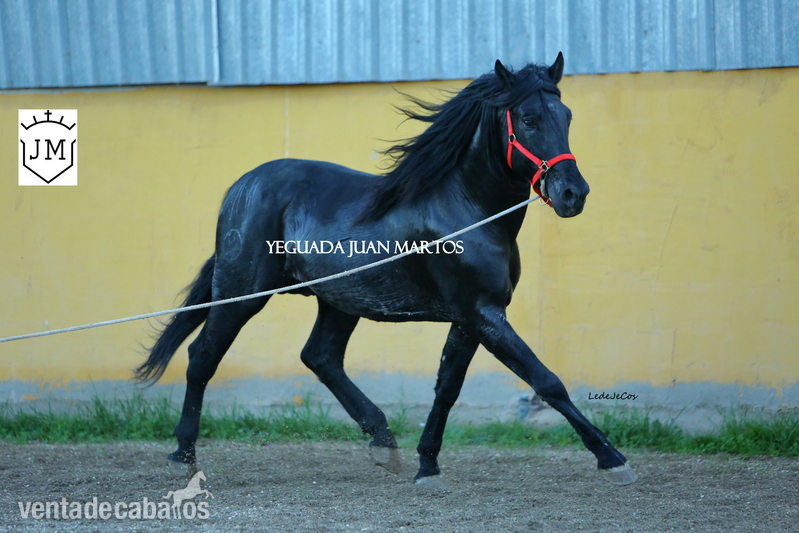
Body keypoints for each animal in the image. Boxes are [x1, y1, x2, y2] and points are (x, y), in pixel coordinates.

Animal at [136, 53, 636, 488]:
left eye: (566, 116)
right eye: (529, 119)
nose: (573, 193)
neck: (467, 210)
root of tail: (242, 186)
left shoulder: (470, 319)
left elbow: (447, 389)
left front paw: (427, 465)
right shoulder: (483, 314)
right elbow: (547, 381)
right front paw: (613, 459)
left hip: (338, 301)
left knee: (320, 358)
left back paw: (384, 443)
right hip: (241, 293)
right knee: (202, 357)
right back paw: (183, 456)